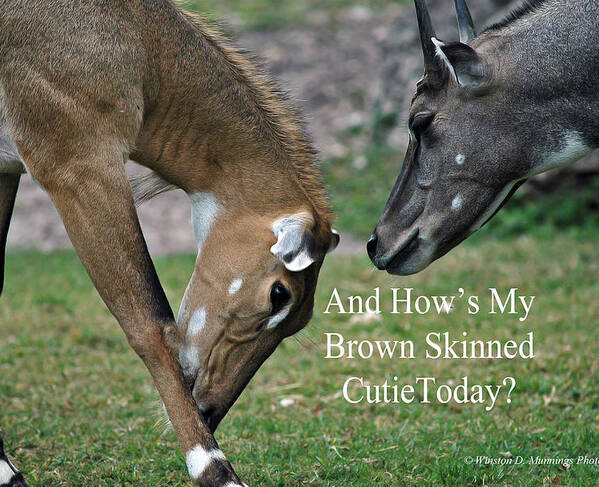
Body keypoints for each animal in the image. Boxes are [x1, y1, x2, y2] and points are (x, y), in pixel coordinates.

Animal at [0, 0, 340, 487]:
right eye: (279, 294)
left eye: (300, 320)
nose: (210, 410)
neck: (143, 47)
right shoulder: (78, 166)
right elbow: (150, 324)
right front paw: (216, 470)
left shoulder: (7, 167)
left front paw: (5, 469)